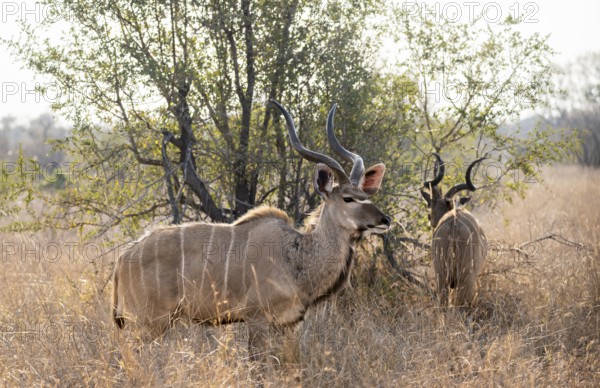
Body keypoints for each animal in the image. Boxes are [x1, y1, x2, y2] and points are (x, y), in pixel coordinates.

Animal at [112, 101, 392, 360]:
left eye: (366, 194)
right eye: (348, 198)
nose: (385, 219)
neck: (297, 256)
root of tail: (123, 258)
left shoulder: (287, 325)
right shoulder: (257, 319)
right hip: (151, 322)